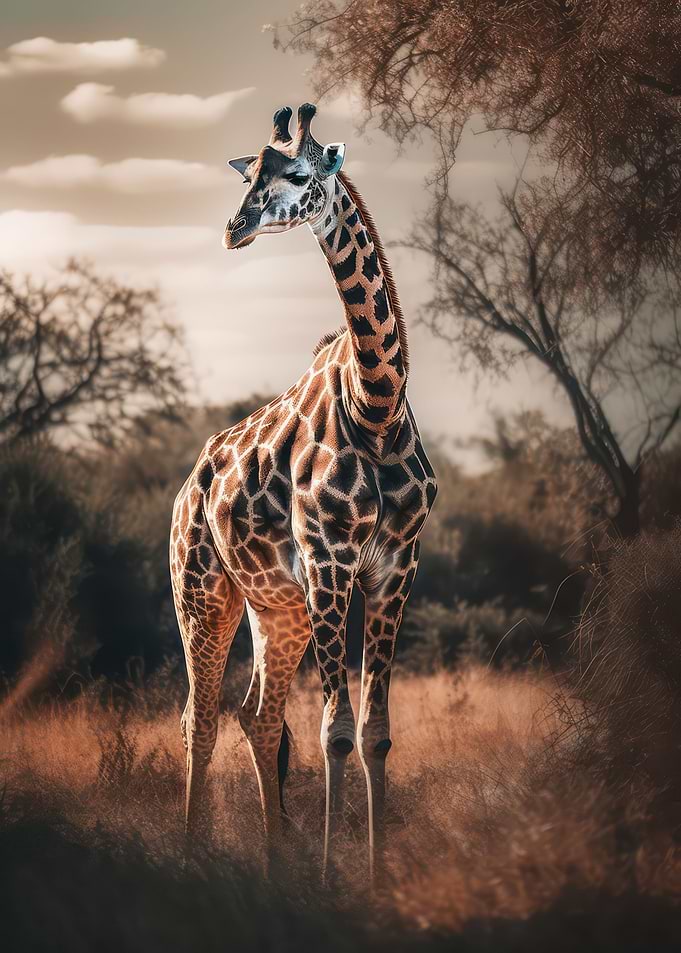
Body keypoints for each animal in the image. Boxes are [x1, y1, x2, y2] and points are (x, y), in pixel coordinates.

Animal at [169, 103, 437, 880]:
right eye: (248, 175)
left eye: (295, 173)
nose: (234, 227)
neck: (376, 406)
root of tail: (185, 490)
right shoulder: (329, 562)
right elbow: (334, 731)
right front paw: (328, 875)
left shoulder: (394, 567)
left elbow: (374, 731)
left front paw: (371, 874)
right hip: (202, 592)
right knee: (199, 716)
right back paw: (191, 856)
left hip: (275, 607)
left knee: (256, 715)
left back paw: (272, 855)